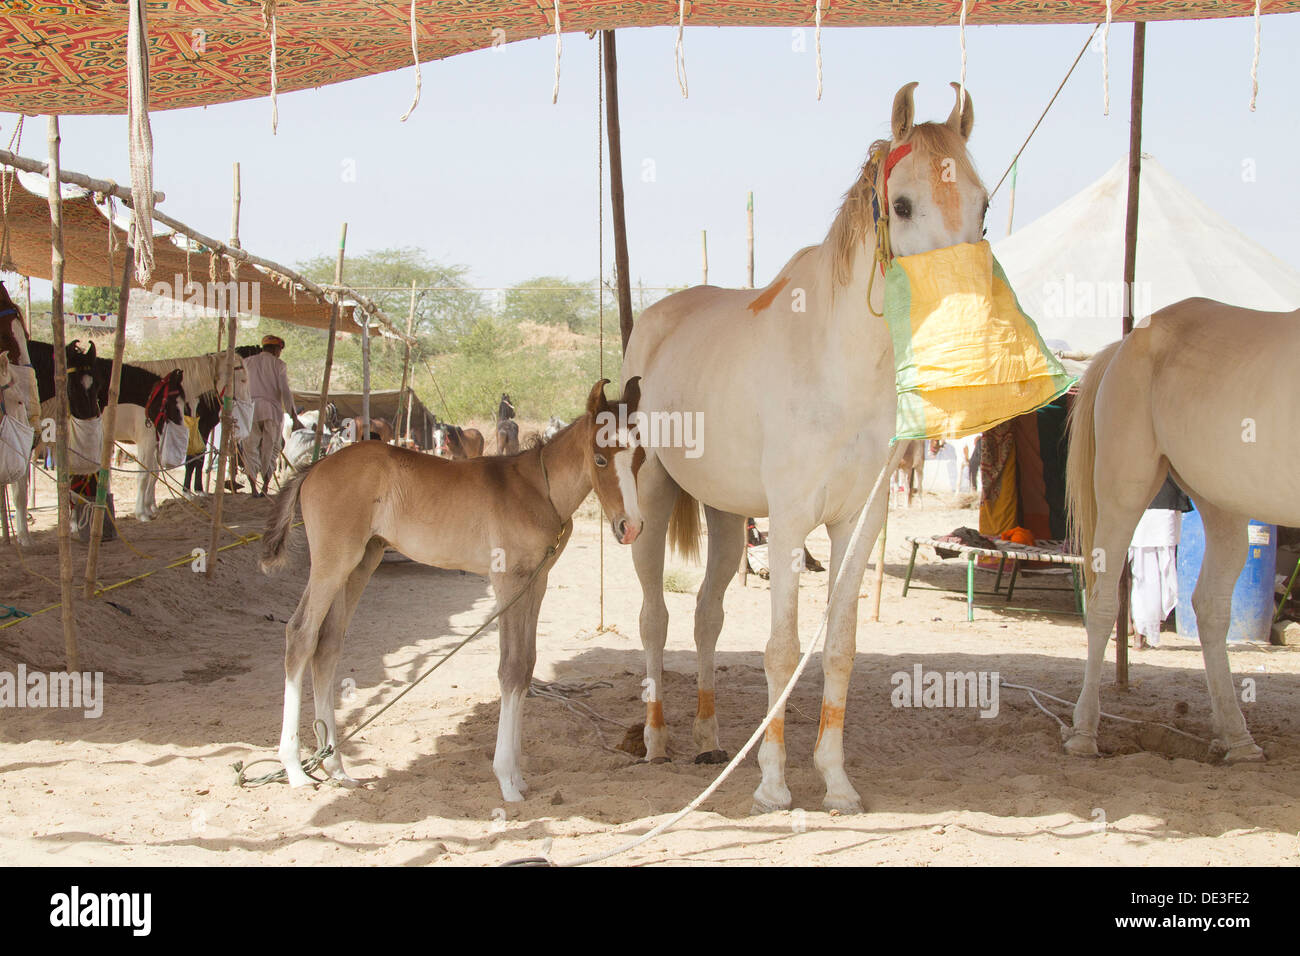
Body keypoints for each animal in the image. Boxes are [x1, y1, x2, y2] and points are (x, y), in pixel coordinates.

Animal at [260, 378, 646, 800]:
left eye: (641, 455)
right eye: (600, 459)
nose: (631, 528)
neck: (538, 489)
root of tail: (316, 466)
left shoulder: (535, 582)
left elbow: (527, 666)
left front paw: (519, 775)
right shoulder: (507, 580)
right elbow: (511, 669)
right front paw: (506, 780)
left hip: (361, 563)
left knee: (328, 645)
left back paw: (335, 767)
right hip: (333, 562)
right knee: (301, 634)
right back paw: (294, 767)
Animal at [620, 82, 987, 813]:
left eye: (984, 204)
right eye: (903, 204)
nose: (963, 316)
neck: (834, 367)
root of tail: (656, 321)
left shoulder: (856, 522)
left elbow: (839, 647)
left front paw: (836, 782)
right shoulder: (790, 523)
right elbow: (783, 650)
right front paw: (772, 785)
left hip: (727, 517)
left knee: (706, 616)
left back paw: (708, 738)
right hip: (652, 502)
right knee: (654, 619)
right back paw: (655, 739)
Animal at [1064, 297, 1300, 764]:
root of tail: (1126, 343)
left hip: (1223, 505)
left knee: (1210, 607)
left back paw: (1238, 739)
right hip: (1124, 491)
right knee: (1103, 605)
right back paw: (1084, 733)